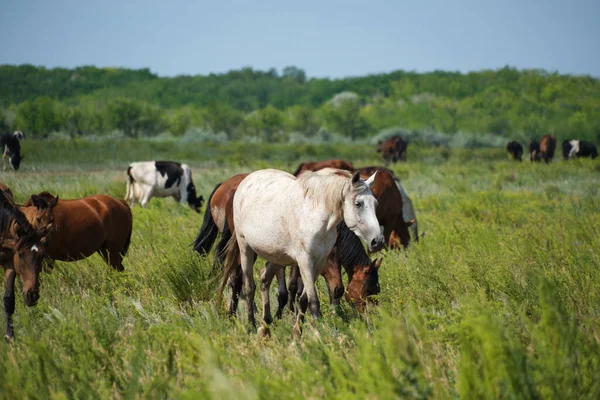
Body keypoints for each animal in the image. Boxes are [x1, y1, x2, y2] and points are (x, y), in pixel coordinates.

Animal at [0, 186, 47, 340]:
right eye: (20, 254)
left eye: (42, 254)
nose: (32, 295)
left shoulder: (9, 263)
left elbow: (9, 299)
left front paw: (10, 336)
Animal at [220, 167, 384, 336]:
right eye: (358, 203)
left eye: (375, 203)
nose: (377, 241)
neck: (315, 217)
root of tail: (245, 181)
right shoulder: (305, 261)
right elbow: (313, 301)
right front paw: (318, 334)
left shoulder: (319, 263)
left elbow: (304, 300)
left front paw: (297, 333)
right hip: (245, 248)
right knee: (248, 286)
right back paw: (251, 326)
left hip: (277, 257)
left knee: (264, 279)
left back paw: (265, 325)